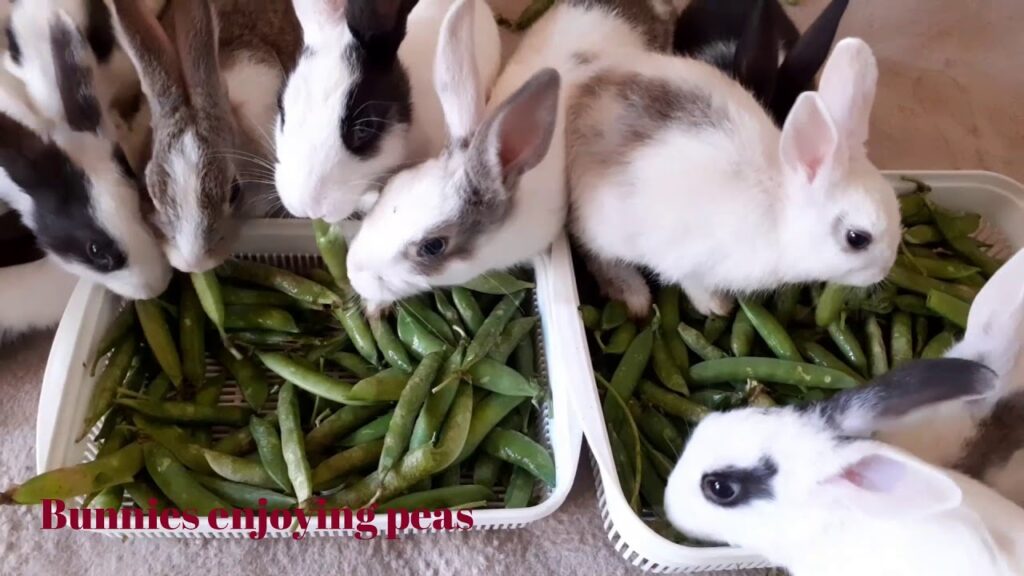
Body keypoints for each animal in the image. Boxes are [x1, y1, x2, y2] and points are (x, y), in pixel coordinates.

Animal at [567, 37, 900, 318]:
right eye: (856, 238)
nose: (884, 271)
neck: (779, 212)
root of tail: (582, 88)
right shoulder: (690, 260)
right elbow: (694, 283)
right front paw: (717, 307)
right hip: (606, 229)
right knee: (597, 254)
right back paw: (634, 296)